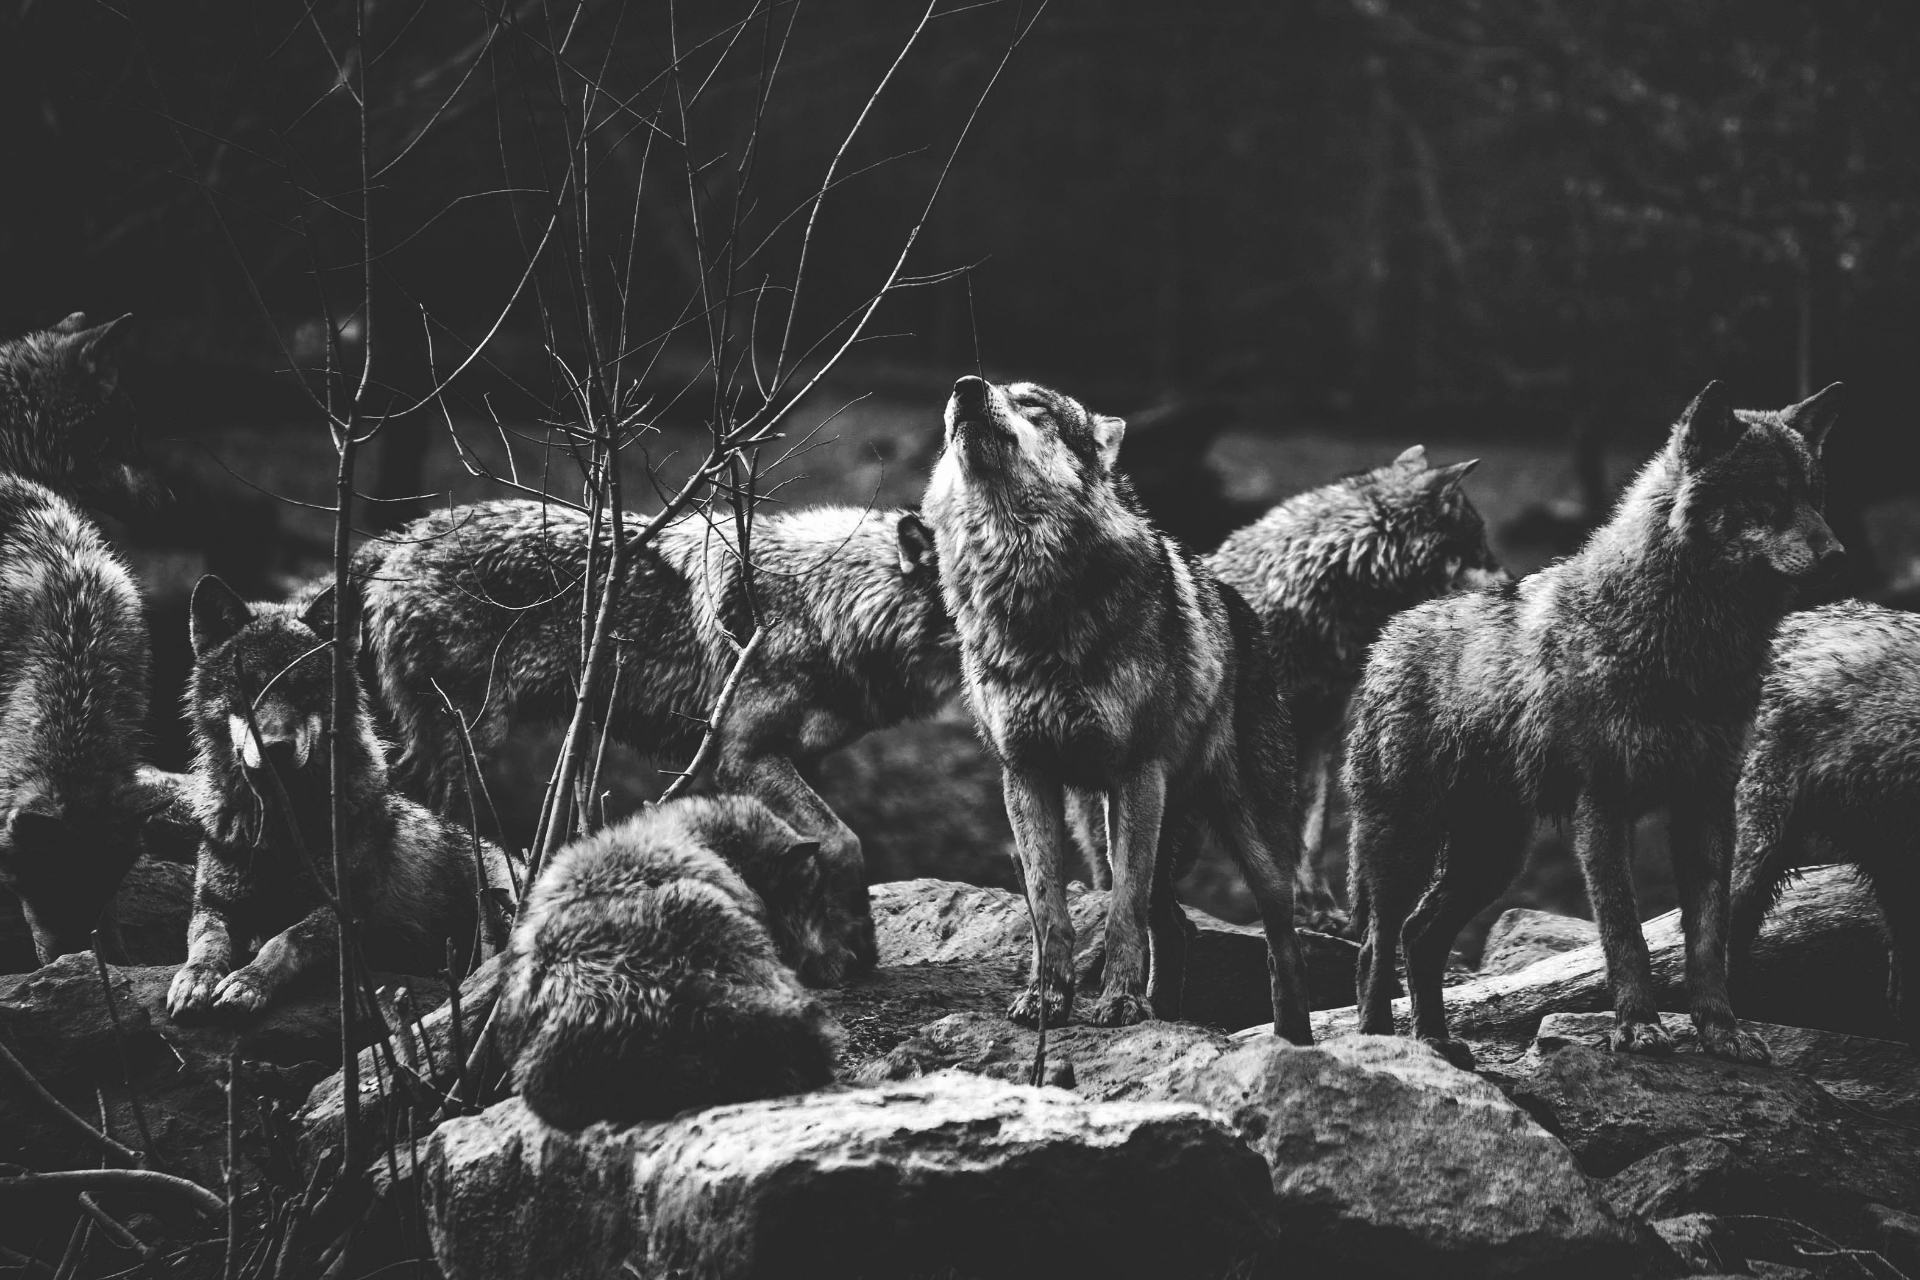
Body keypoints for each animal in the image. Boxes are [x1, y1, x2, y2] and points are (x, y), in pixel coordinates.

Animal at [167, 575, 516, 1018]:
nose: (275, 748)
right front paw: (195, 979)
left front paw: (248, 982)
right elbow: (208, 942)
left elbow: (284, 940)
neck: (281, 828)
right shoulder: (213, 905)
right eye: (249, 686)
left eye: (305, 688)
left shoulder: (347, 916)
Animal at [354, 499, 959, 976]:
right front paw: (857, 947)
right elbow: (845, 841)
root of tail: (395, 541)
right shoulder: (743, 755)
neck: (828, 606)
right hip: (471, 743)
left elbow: (811, 855)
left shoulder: (800, 761)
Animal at [921, 375, 1312, 1040]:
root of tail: (1241, 607)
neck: (1028, 592)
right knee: (1176, 926)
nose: (966, 387)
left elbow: (1122, 913)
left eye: (1033, 404)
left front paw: (1122, 1003)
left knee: (1280, 944)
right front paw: (1047, 999)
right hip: (1110, 824)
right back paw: (1170, 1014)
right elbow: (1048, 909)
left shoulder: (1135, 773)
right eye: (959, 403)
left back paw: (1292, 1040)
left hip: (1246, 838)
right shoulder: (1025, 775)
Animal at [1346, 381, 1844, 1069]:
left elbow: (1708, 940)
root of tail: (1387, 637)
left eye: (1816, 497)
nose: (1837, 554)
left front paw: (1722, 1032)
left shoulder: (1708, 806)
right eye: (1769, 495)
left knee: (1420, 935)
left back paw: (1438, 1043)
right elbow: (1624, 933)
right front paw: (1638, 1028)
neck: (1689, 645)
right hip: (1408, 845)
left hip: (1493, 857)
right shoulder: (1602, 806)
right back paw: (1381, 1043)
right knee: (1378, 941)